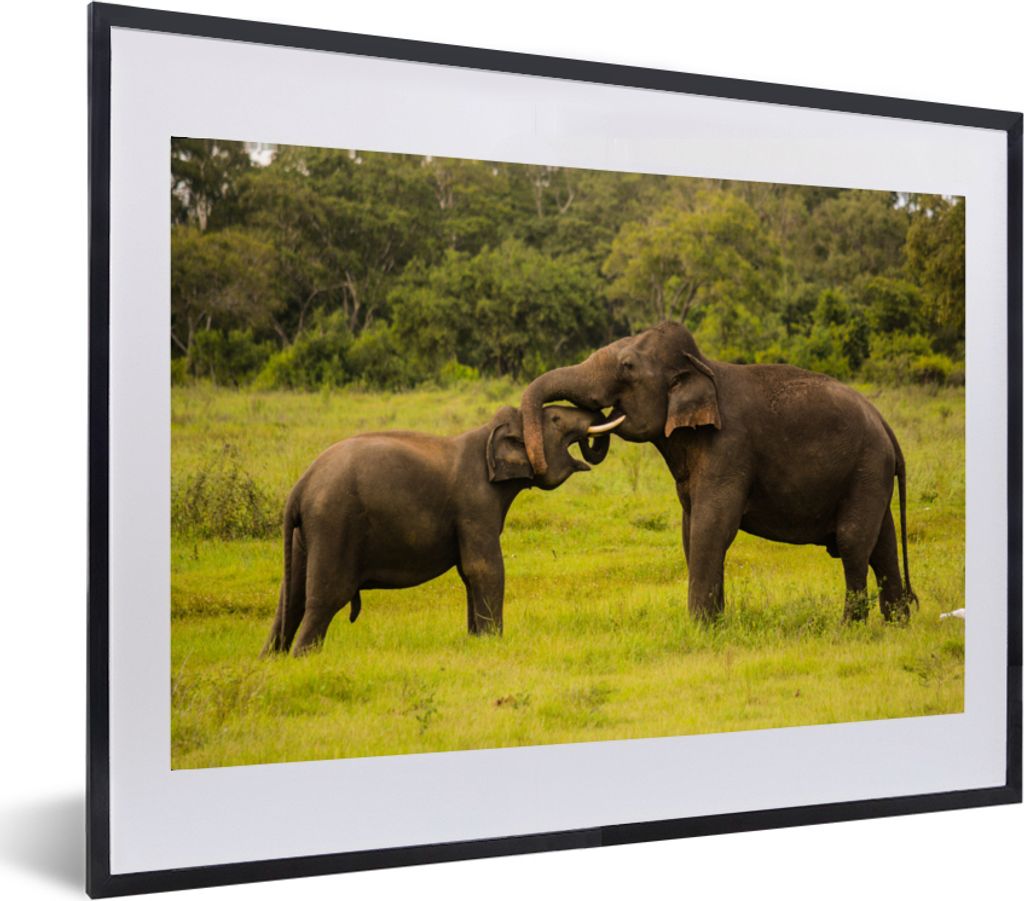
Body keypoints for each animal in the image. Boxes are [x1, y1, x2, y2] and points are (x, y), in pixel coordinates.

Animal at [261, 404, 622, 656]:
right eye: (557, 420)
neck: (487, 433)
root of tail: (300, 487)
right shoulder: (475, 503)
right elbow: (484, 568)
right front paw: (493, 643)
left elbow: (468, 572)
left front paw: (476, 641)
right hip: (334, 523)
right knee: (325, 597)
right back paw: (302, 659)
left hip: (304, 534)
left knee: (290, 598)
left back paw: (273, 659)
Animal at [520, 321, 917, 623]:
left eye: (628, 366)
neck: (702, 366)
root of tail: (885, 425)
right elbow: (690, 528)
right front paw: (715, 624)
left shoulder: (729, 448)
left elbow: (713, 526)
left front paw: (700, 628)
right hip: (869, 474)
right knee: (882, 541)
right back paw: (898, 624)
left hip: (867, 467)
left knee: (853, 541)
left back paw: (848, 628)